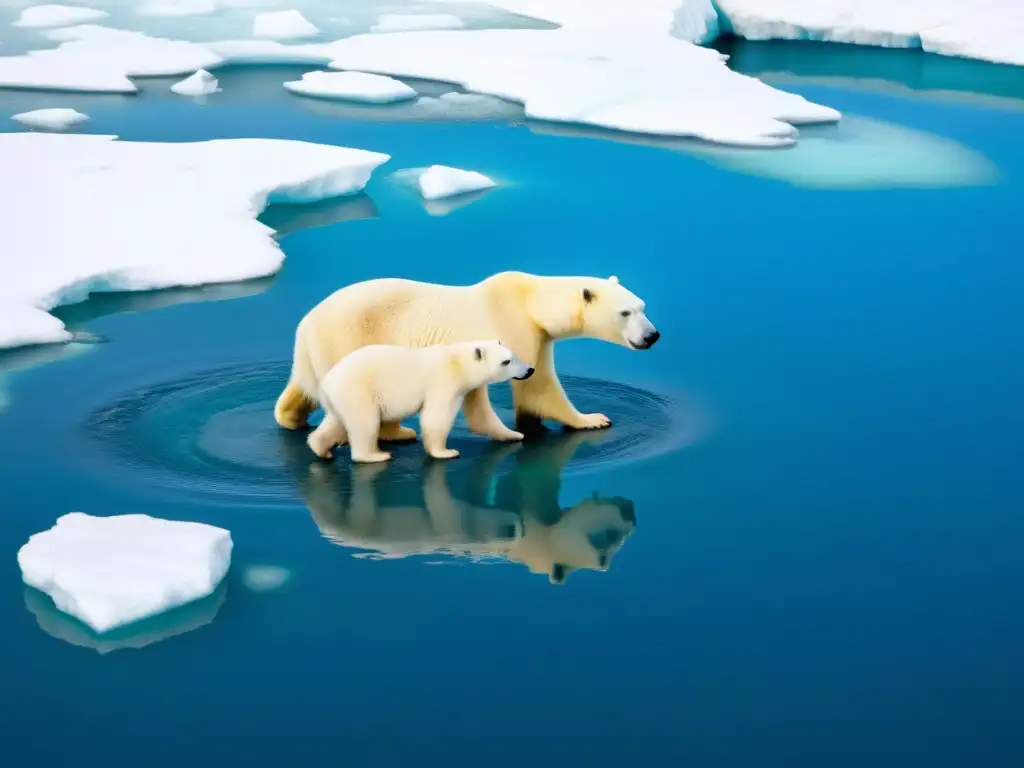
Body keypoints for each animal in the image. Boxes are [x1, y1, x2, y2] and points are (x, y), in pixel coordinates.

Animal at [272, 272, 659, 442]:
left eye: (643, 306)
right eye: (626, 313)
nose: (652, 336)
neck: (530, 300)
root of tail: (305, 322)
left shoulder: (539, 337)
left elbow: (536, 386)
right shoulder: (516, 327)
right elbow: (537, 385)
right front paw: (592, 418)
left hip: (313, 351)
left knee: (302, 386)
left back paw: (292, 416)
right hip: (349, 337)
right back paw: (396, 431)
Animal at [307, 342, 532, 462]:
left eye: (514, 356)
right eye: (506, 361)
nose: (530, 370)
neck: (458, 361)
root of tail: (326, 383)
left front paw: (515, 434)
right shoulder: (444, 381)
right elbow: (437, 417)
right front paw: (445, 452)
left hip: (341, 398)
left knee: (335, 422)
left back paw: (322, 449)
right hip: (359, 390)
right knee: (365, 422)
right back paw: (375, 455)